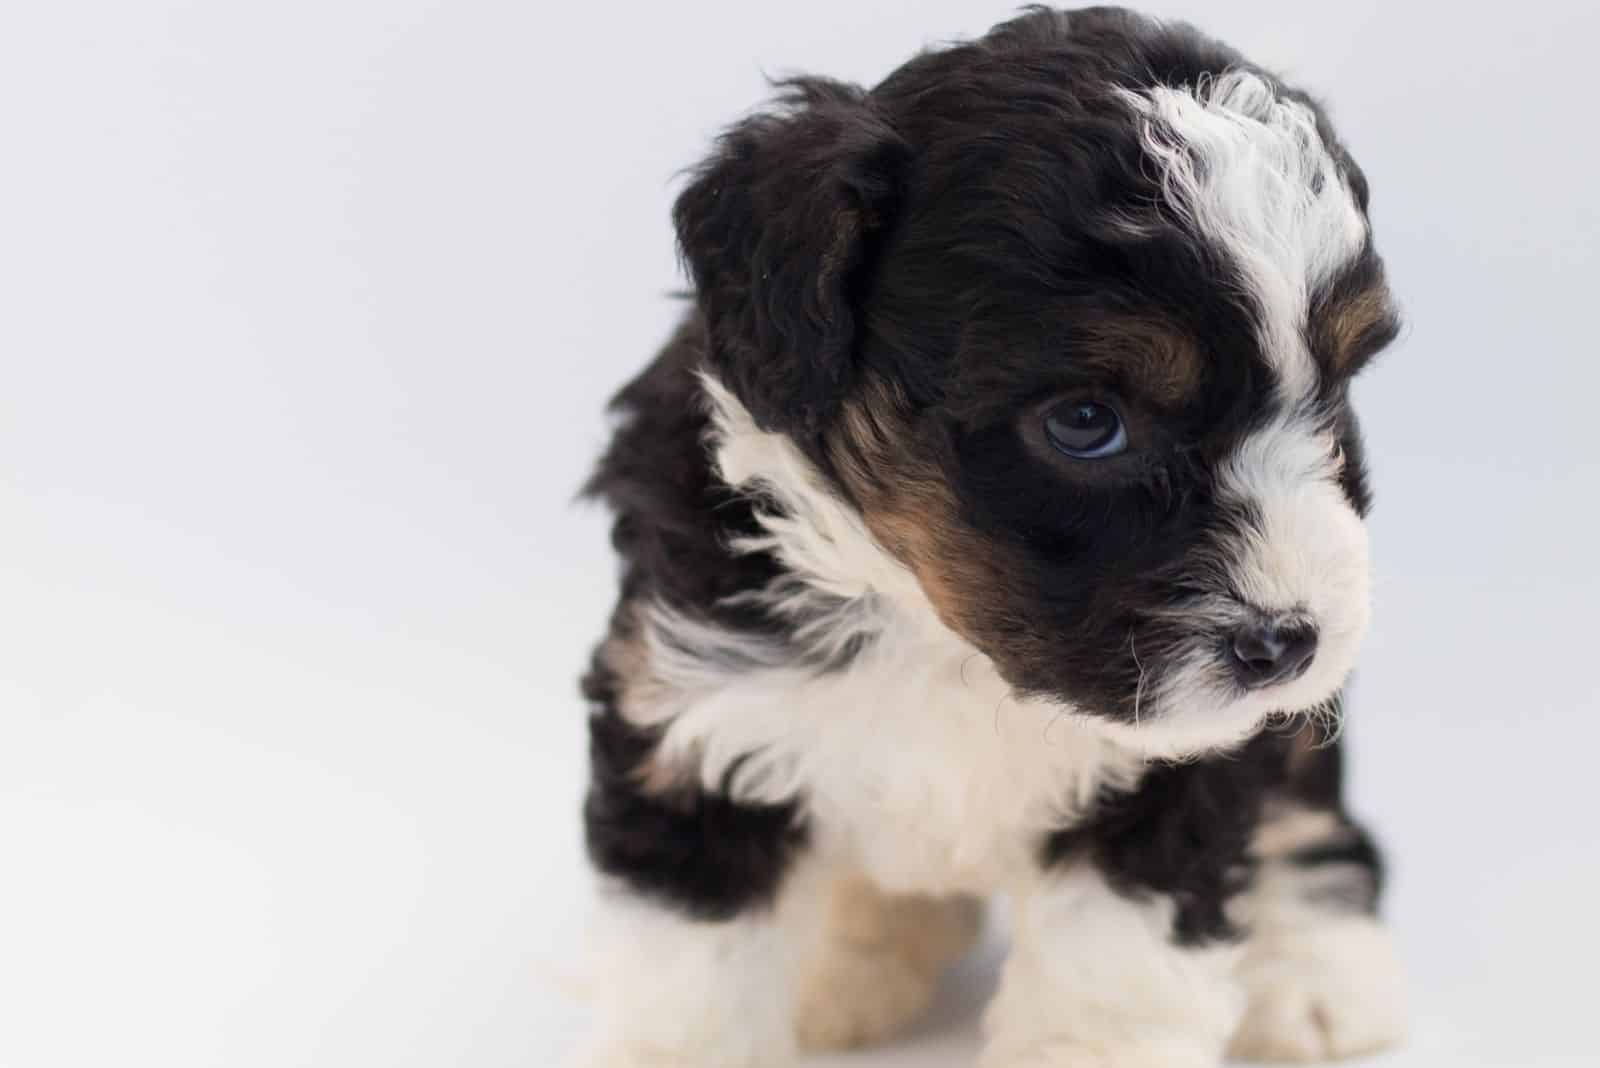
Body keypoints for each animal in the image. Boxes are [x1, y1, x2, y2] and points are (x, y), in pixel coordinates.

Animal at [582, 10, 1408, 1068]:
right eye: (1086, 422)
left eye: (1333, 393)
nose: (1289, 644)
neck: (938, 630)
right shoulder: (686, 717)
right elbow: (693, 985)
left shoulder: (1176, 782)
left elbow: (1110, 978)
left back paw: (1314, 971)